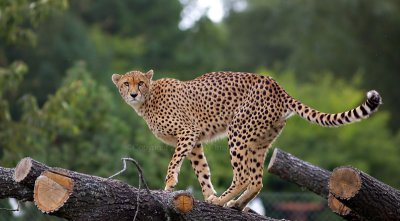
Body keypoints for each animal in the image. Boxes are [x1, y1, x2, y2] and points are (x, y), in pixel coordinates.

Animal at [111, 70, 382, 210]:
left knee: (242, 175)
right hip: (259, 142)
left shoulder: (187, 133)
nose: (133, 93)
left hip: (238, 132)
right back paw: (235, 204)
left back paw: (223, 200)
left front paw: (168, 186)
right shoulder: (195, 141)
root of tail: (276, 85)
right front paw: (207, 195)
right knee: (257, 180)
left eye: (140, 83)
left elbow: (174, 162)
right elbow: (202, 170)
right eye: (126, 83)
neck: (148, 99)